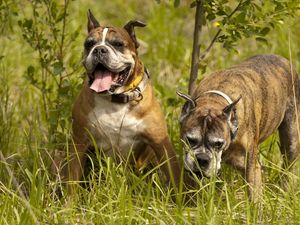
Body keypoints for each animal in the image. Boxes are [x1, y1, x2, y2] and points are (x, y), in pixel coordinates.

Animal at [51, 10, 180, 193]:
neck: (116, 100)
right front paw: (69, 201)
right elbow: (73, 180)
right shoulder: (79, 143)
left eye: (118, 44)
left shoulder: (160, 144)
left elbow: (175, 176)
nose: (99, 50)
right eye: (89, 44)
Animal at [178, 54, 300, 200]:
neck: (213, 102)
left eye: (218, 144)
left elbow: (254, 197)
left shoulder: (252, 168)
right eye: (190, 140)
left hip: (291, 137)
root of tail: (284, 60)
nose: (202, 159)